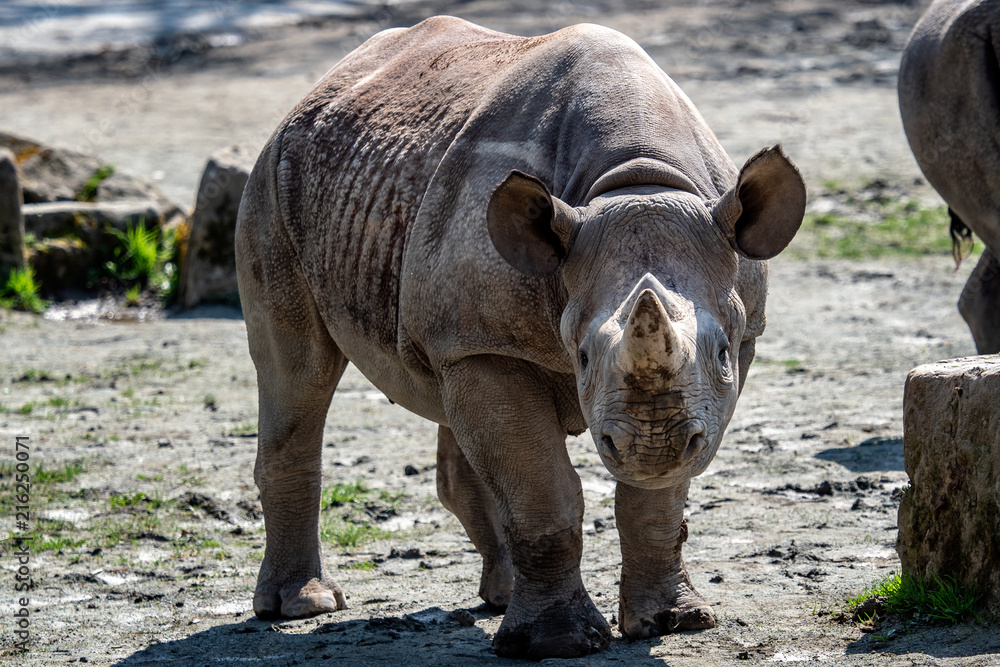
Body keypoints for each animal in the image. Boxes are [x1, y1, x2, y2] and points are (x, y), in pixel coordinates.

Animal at [235, 16, 805, 659]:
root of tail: (316, 92)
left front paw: (674, 623)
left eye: (722, 353)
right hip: (274, 180)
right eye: (581, 357)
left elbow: (654, 498)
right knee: (298, 373)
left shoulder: (733, 342)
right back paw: (302, 606)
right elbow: (544, 492)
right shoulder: (486, 345)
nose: (651, 444)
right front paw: (555, 643)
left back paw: (500, 597)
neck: (635, 183)